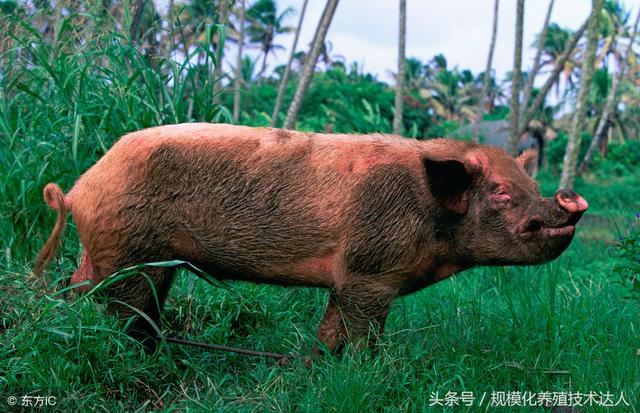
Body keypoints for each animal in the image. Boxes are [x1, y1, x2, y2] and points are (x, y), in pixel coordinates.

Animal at [32, 122, 588, 350]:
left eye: (529, 186)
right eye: (500, 192)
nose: (567, 201)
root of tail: (81, 186)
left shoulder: (350, 279)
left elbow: (331, 329)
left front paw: (318, 364)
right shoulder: (370, 271)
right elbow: (363, 334)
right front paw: (365, 369)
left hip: (139, 258)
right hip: (126, 250)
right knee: (111, 305)